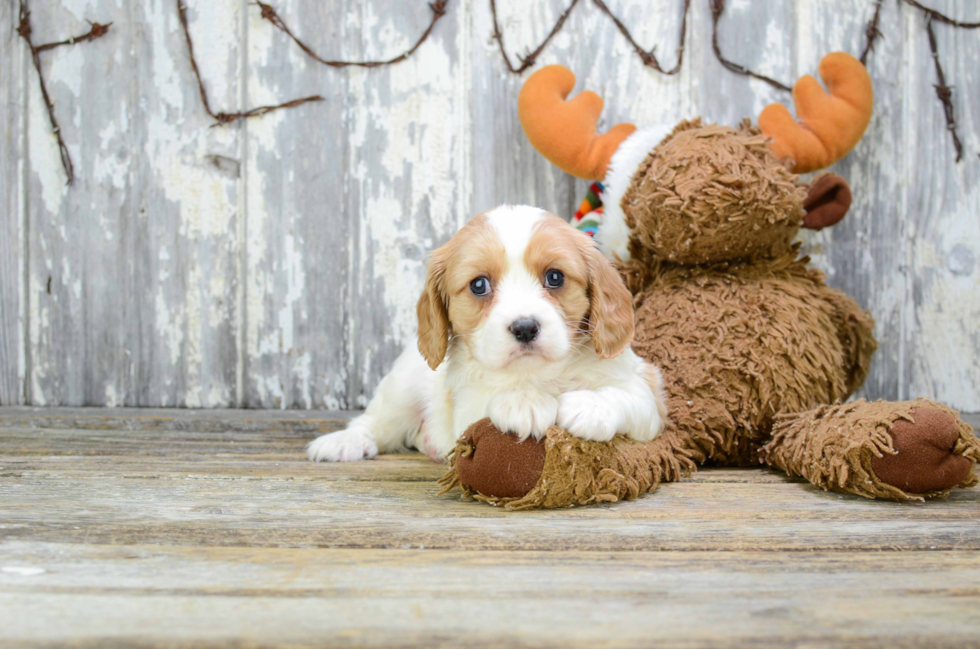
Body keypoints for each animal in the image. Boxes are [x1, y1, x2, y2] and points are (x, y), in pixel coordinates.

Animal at [310, 205, 668, 464]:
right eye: (479, 285)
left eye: (555, 277)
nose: (525, 327)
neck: (539, 374)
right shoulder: (465, 406)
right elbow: (489, 402)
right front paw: (523, 402)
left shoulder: (646, 396)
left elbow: (625, 397)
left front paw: (590, 407)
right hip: (401, 387)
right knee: (375, 422)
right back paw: (343, 442)